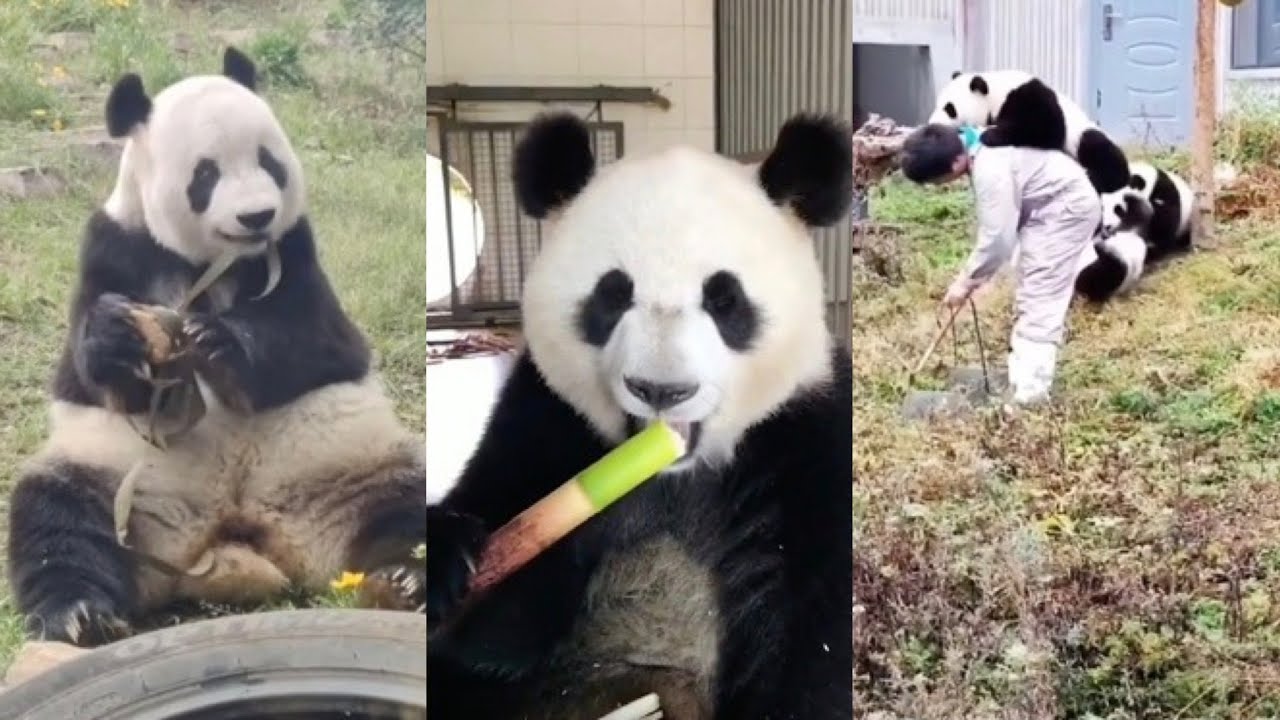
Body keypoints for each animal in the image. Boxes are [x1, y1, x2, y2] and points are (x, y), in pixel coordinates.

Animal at [6, 47, 427, 647]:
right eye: (205, 175)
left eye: (270, 162)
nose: (257, 216)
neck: (214, 261)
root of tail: (232, 529)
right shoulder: (115, 246)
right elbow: (98, 372)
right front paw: (120, 337)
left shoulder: (293, 249)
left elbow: (311, 336)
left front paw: (219, 341)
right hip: (120, 479)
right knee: (59, 518)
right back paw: (79, 614)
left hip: (345, 464)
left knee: (402, 502)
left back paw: (403, 580)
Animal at [425, 113, 853, 720]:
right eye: (612, 295)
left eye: (724, 300)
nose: (661, 389)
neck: (671, 473)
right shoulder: (546, 421)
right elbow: (495, 620)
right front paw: (445, 558)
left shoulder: (801, 443)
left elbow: (812, 640)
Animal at [929, 69, 1131, 195]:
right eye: (937, 103)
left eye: (950, 108)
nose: (933, 123)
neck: (996, 92)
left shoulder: (1027, 96)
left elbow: (1046, 128)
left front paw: (990, 134)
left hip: (1082, 133)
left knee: (1099, 149)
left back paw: (1098, 176)